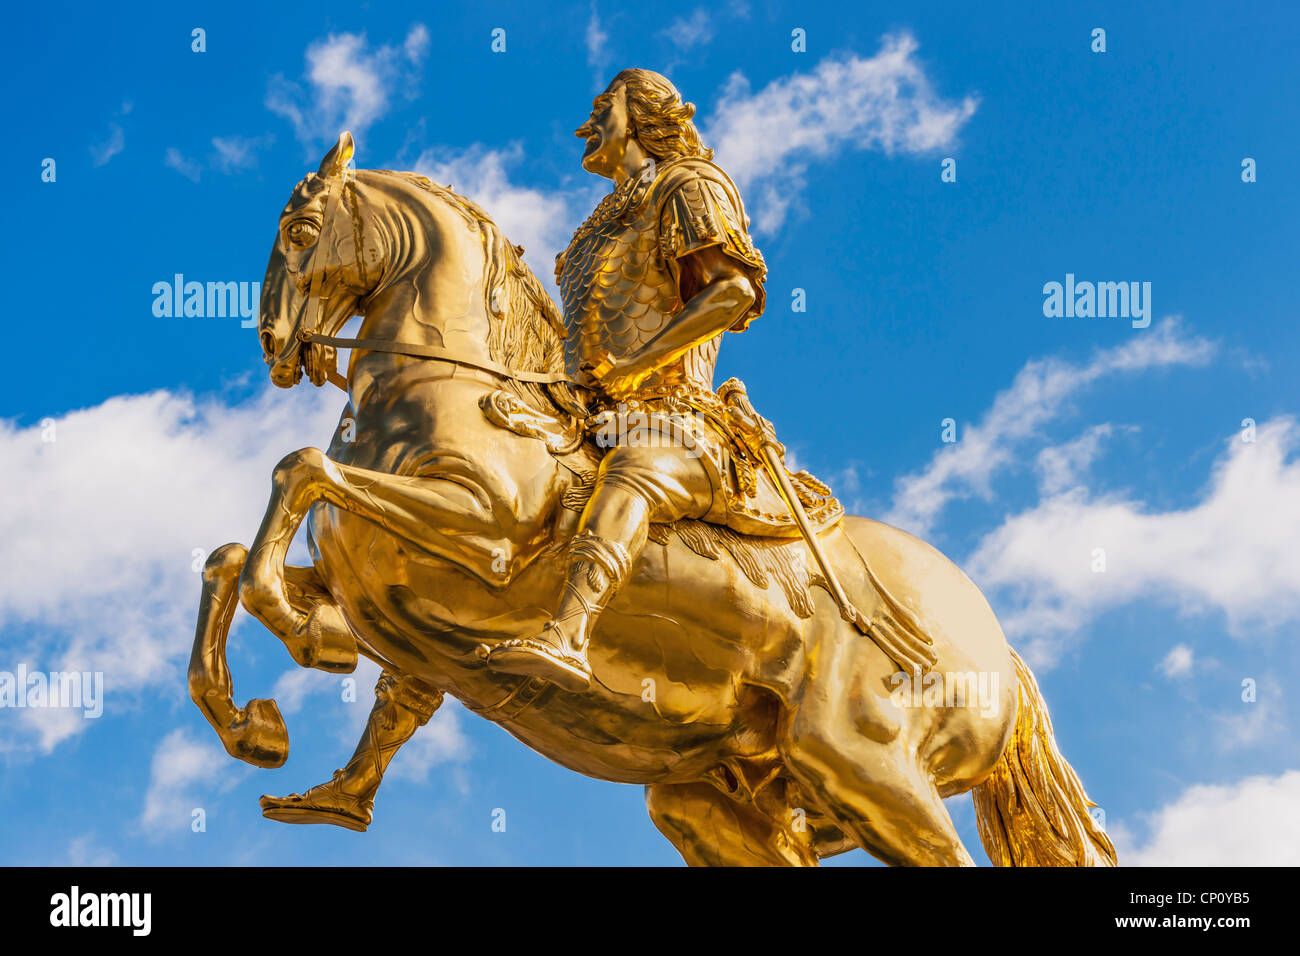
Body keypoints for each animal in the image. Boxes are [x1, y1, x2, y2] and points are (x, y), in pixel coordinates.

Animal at [188, 134, 1112, 868]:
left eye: (301, 230)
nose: (274, 344)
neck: (455, 390)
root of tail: (998, 649)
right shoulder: (363, 570)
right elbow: (231, 557)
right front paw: (254, 725)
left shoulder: (485, 532)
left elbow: (298, 469)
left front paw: (306, 637)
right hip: (724, 803)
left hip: (870, 774)